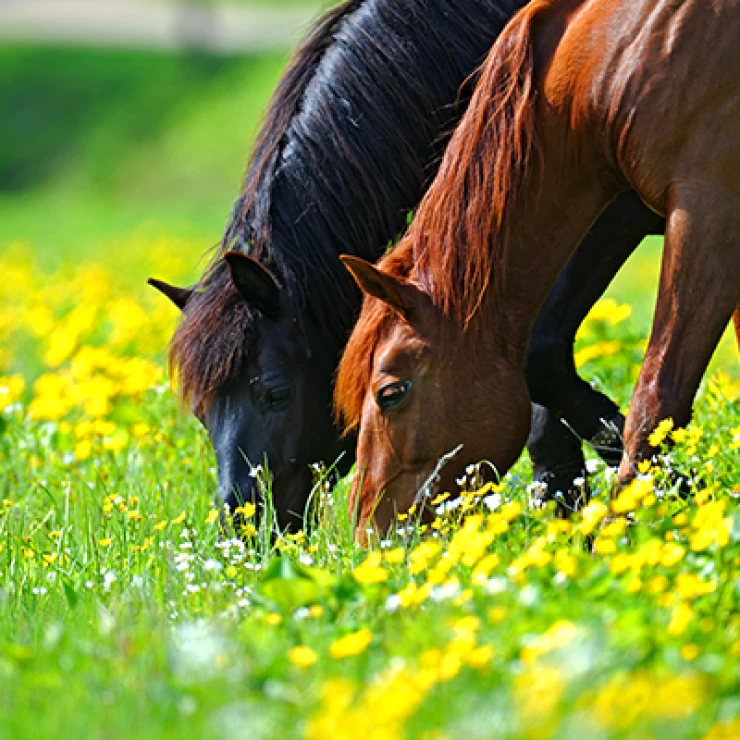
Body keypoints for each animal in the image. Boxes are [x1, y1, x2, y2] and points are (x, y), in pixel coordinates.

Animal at [149, 0, 660, 532]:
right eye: (202, 414)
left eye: (275, 392)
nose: (245, 526)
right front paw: (564, 503)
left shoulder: (607, 208)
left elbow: (539, 353)